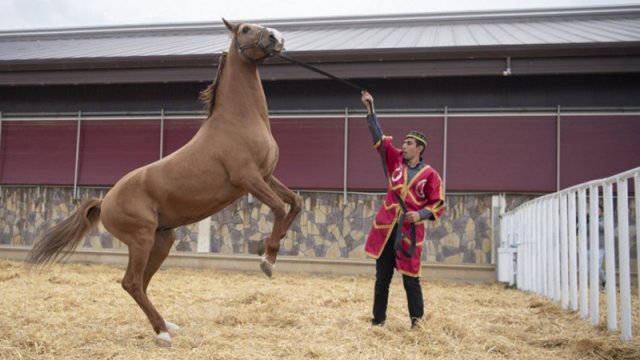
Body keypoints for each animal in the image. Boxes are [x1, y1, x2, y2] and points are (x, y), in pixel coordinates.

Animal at [26, 19, 302, 346]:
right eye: (246, 29)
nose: (277, 37)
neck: (239, 121)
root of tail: (105, 201)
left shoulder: (267, 175)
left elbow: (295, 203)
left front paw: (270, 249)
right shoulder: (247, 178)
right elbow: (279, 208)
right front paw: (267, 259)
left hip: (162, 240)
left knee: (141, 283)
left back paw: (166, 326)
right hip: (142, 238)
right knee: (131, 282)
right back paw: (162, 333)